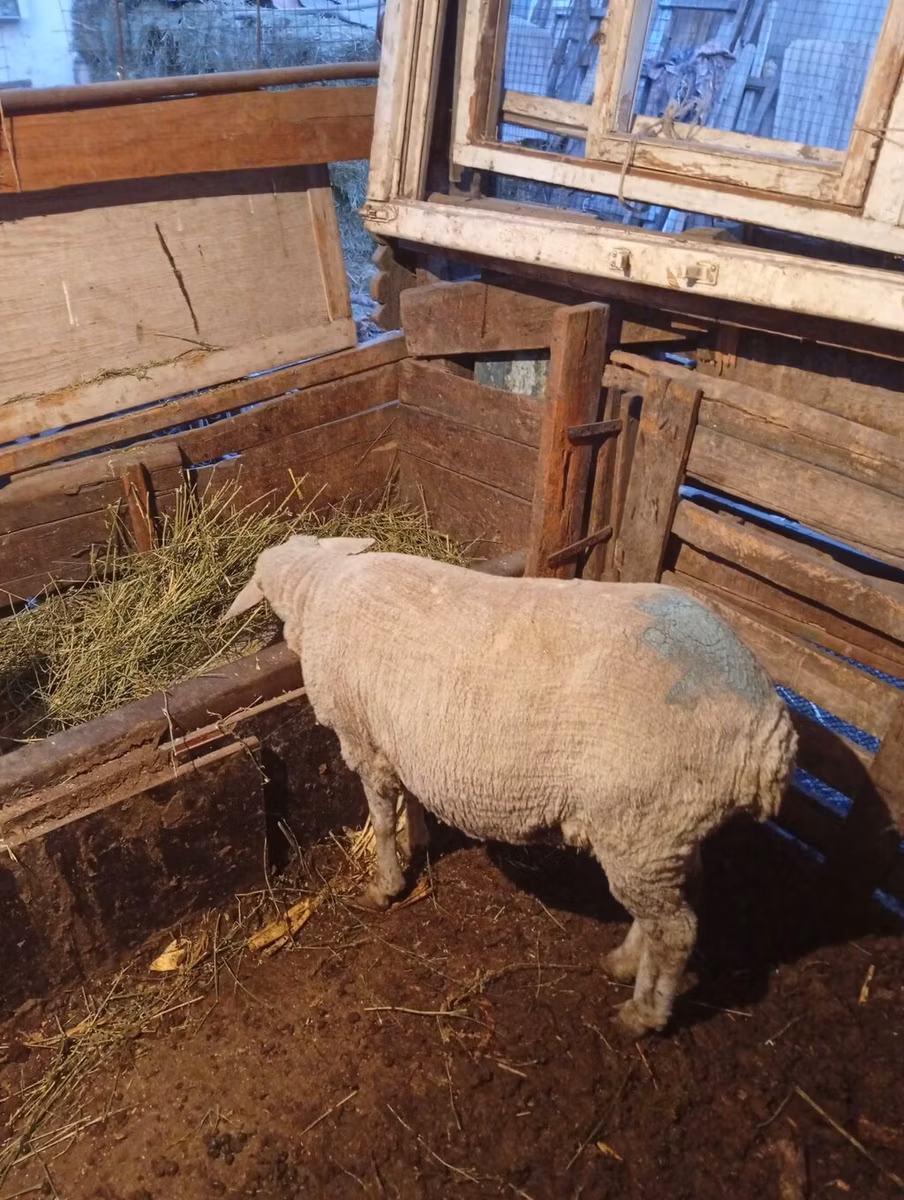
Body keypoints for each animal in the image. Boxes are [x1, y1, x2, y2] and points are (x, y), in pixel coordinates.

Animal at [223, 534, 797, 1035]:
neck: (320, 583)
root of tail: (769, 727)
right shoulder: (401, 738)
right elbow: (412, 799)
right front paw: (419, 840)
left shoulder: (363, 739)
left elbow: (382, 820)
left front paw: (384, 885)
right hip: (665, 828)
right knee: (679, 902)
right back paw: (624, 963)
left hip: (640, 820)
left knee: (675, 932)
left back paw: (642, 1015)